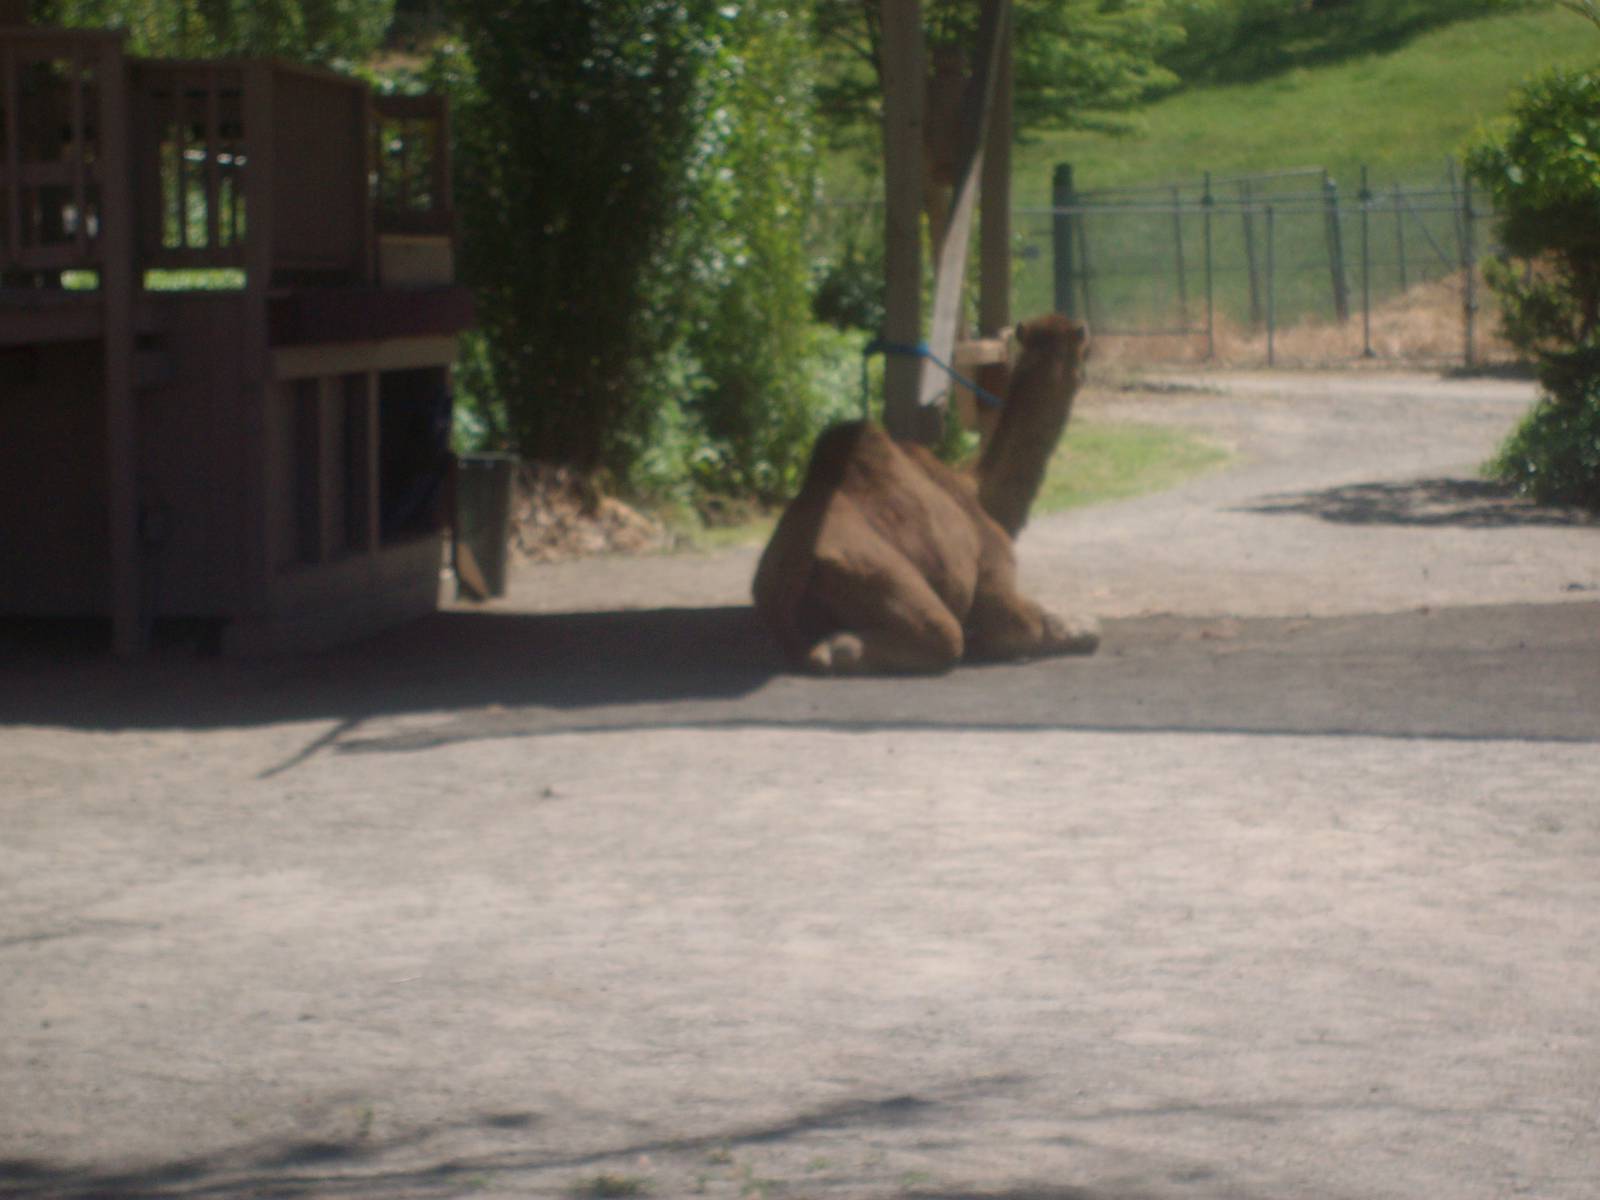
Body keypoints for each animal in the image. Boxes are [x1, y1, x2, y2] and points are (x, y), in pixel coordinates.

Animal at [752, 313, 1100, 674]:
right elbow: (1028, 626)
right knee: (944, 633)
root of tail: (796, 565)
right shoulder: (993, 569)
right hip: (876, 572)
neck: (982, 495)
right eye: (1085, 351)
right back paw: (837, 648)